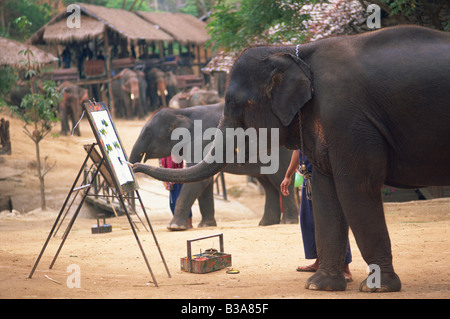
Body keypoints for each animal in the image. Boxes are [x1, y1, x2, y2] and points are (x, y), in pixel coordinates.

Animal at [129, 104, 298, 231]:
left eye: (149, 133)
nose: (133, 166)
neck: (182, 112)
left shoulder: (201, 143)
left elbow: (199, 182)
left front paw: (174, 227)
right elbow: (205, 182)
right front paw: (206, 225)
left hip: (283, 154)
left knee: (278, 180)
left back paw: (288, 222)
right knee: (267, 184)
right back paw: (266, 223)